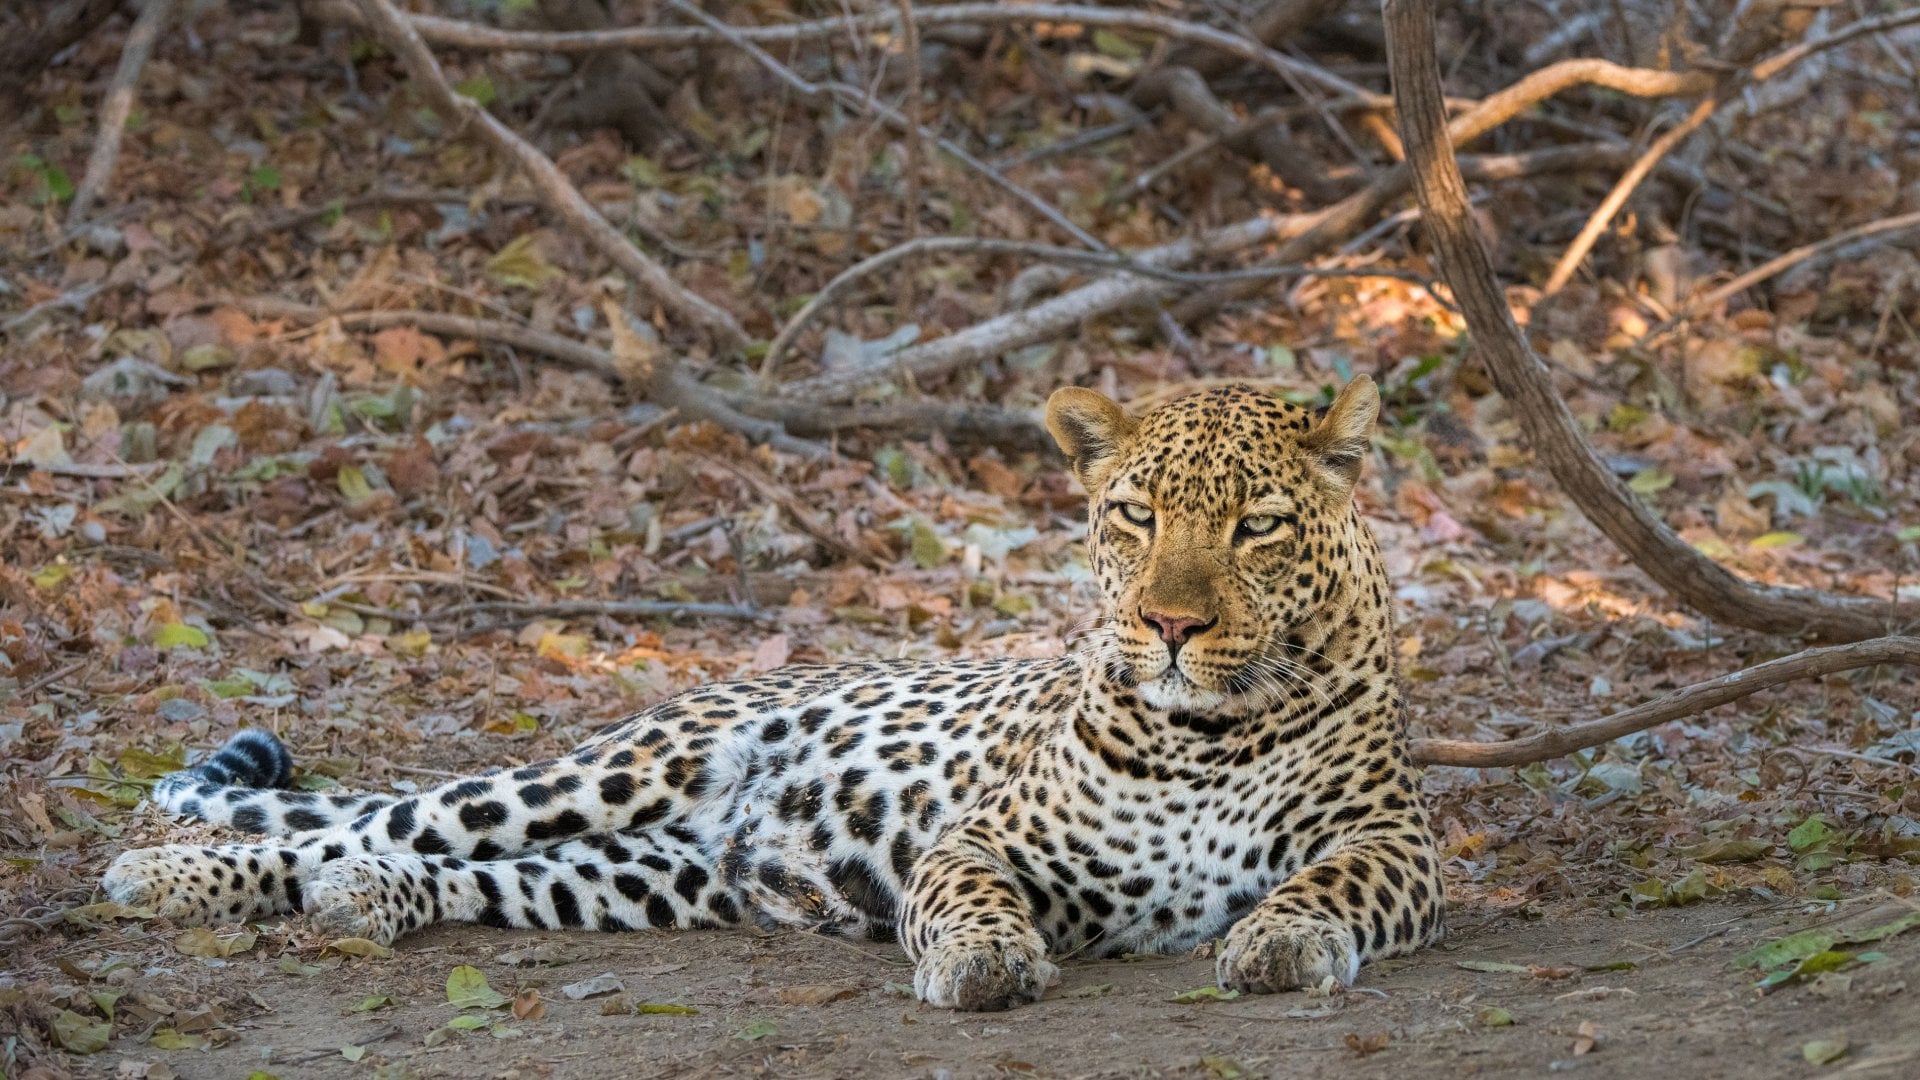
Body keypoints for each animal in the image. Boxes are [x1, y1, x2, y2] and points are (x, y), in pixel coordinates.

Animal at [103, 379, 1445, 1011]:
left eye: (1257, 526)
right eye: (1136, 515)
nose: (1170, 626)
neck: (1196, 735)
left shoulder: (1396, 841)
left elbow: (1331, 882)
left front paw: (1279, 938)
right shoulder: (982, 839)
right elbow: (964, 898)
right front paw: (982, 962)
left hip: (645, 878)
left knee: (463, 871)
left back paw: (364, 900)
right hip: (608, 772)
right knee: (375, 817)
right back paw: (165, 878)